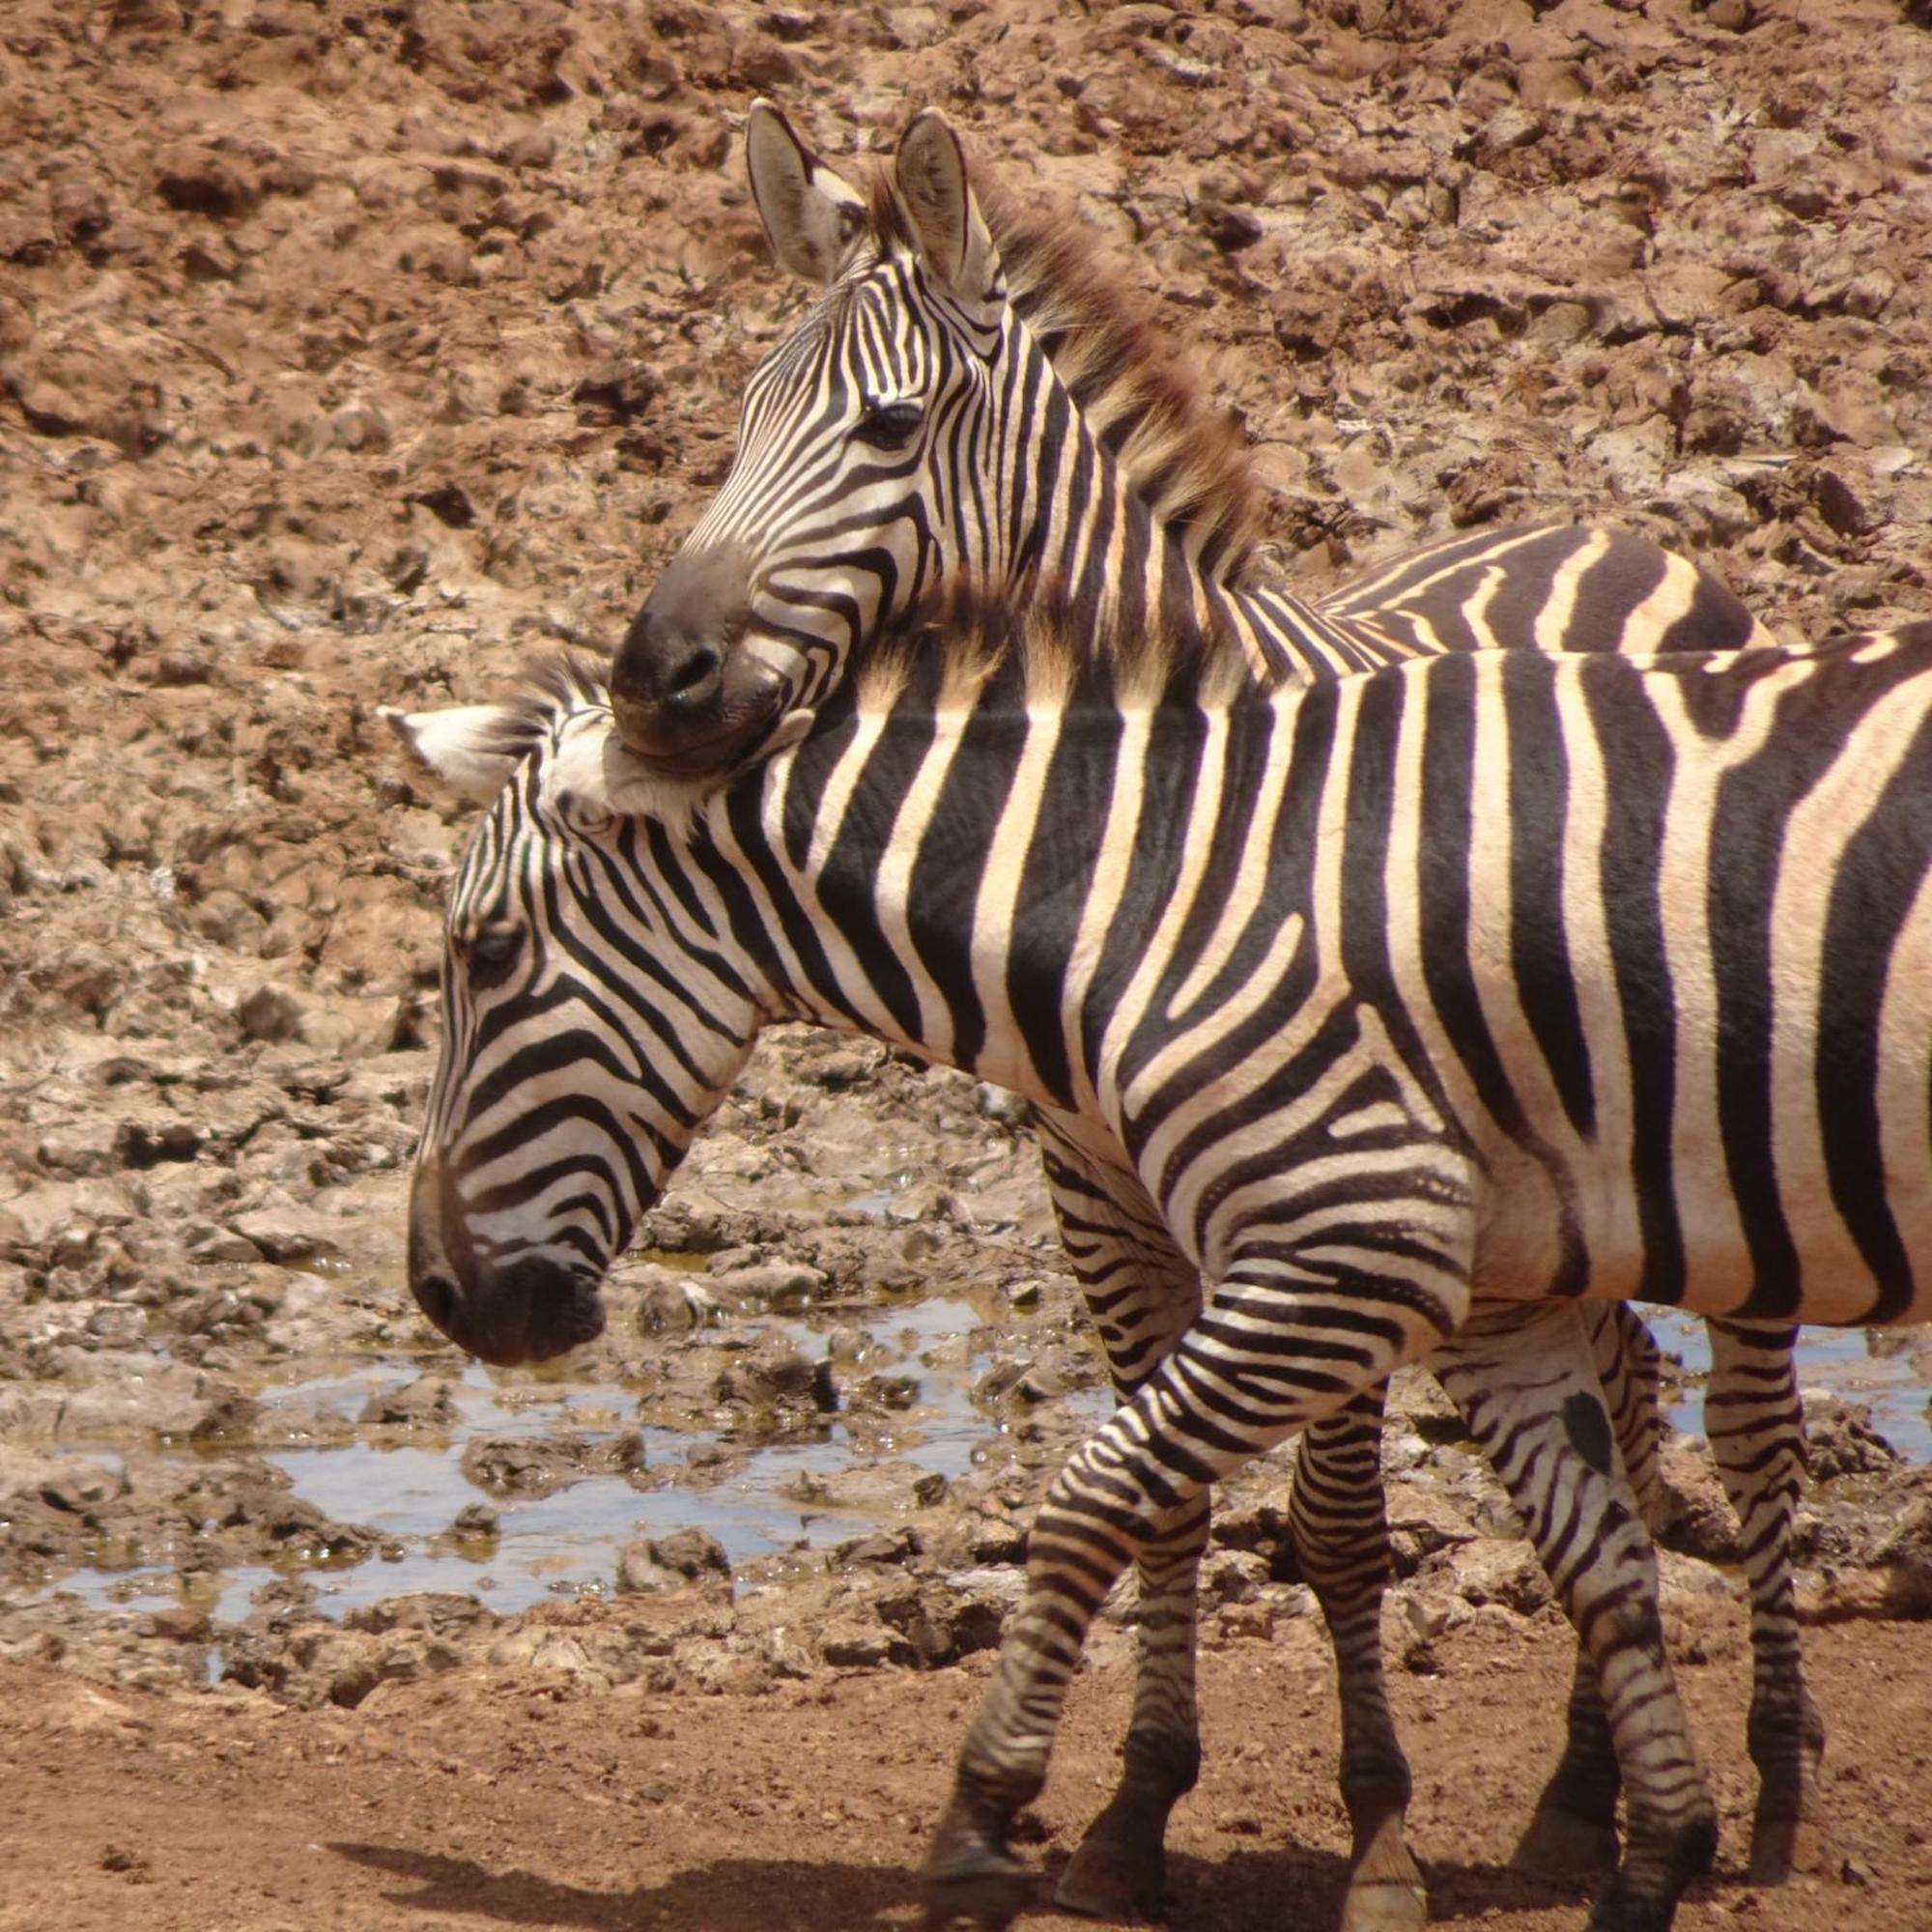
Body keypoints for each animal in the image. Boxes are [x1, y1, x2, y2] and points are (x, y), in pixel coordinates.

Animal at [388, 607, 1932, 1932]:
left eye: (486, 949)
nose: (441, 1296)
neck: (1158, 893)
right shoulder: (1498, 1301)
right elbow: (1601, 1563)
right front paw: (1654, 1857)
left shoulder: (1345, 1244)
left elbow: (1089, 1494)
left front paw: (984, 1814)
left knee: (1753, 1434)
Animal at [591, 101, 1824, 1901]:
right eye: (741, 411)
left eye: (887, 425)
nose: (651, 678)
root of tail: (1615, 530)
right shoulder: (1095, 1188)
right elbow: (1161, 1490)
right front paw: (1130, 1811)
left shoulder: (1315, 1188)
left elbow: (1336, 1527)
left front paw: (1376, 1835)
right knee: (1624, 1388)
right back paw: (1582, 1788)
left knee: (1746, 1425)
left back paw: (1782, 1773)